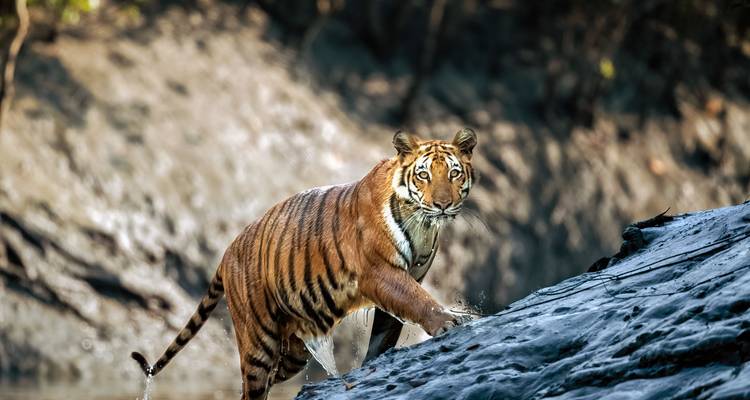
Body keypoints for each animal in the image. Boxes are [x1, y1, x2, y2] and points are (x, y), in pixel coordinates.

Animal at [131, 128, 478, 400]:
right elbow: (417, 301)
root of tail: (227, 251)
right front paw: (451, 320)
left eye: (454, 173)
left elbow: (385, 333)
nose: (442, 204)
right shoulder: (380, 273)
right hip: (258, 342)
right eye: (423, 175)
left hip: (293, 350)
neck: (423, 224)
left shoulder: (409, 277)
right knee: (251, 388)